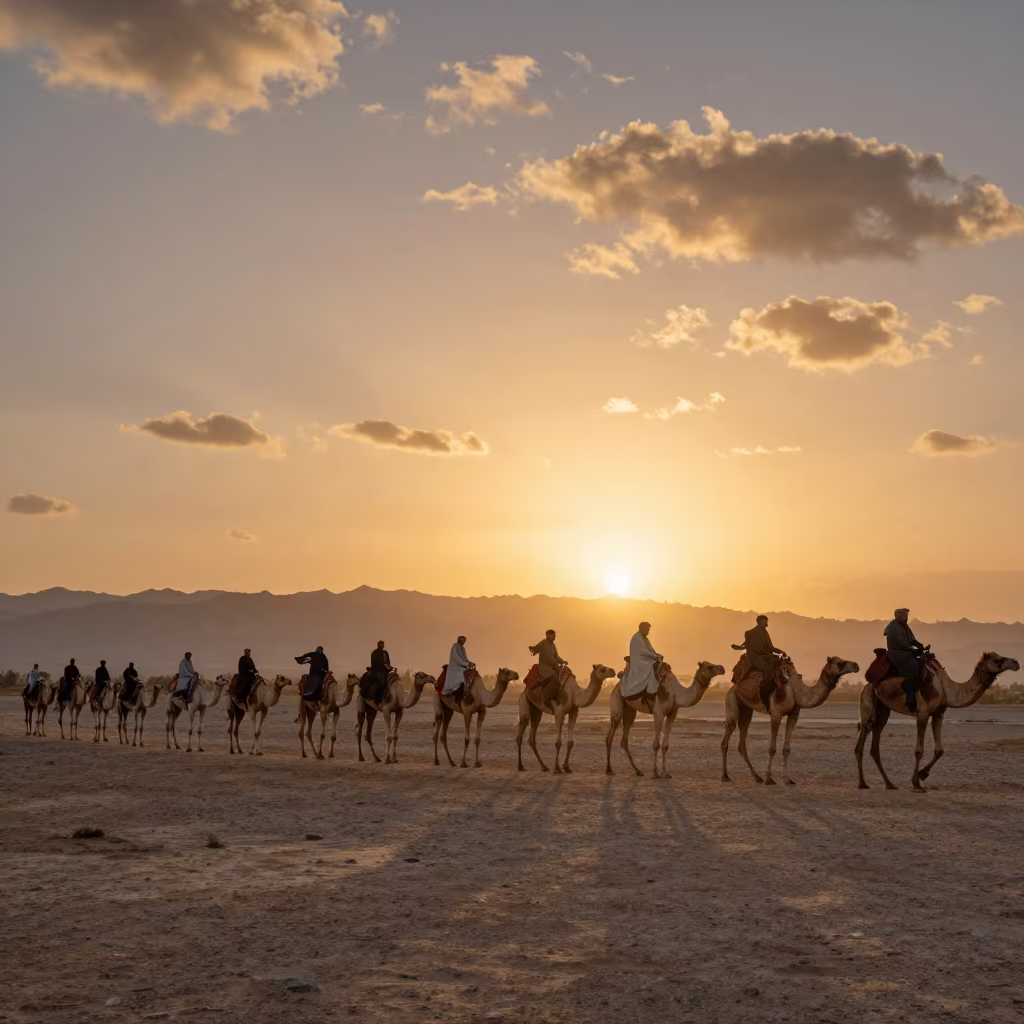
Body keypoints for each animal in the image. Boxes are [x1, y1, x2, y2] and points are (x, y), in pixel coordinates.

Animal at [721, 655, 859, 785]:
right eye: (840, 663)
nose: (856, 665)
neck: (796, 691)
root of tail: (734, 685)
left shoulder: (794, 715)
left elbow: (786, 749)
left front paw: (788, 779)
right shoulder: (776, 714)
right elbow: (772, 748)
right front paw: (769, 779)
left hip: (746, 710)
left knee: (742, 742)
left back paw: (756, 777)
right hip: (732, 702)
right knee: (727, 736)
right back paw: (725, 776)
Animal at [855, 650, 1019, 791]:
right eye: (997, 660)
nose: (1016, 662)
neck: (945, 689)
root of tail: (867, 684)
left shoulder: (939, 714)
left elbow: (940, 750)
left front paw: (923, 774)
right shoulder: (923, 714)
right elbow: (919, 751)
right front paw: (916, 783)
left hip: (884, 709)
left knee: (875, 744)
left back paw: (889, 784)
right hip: (868, 702)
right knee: (861, 741)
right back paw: (863, 784)